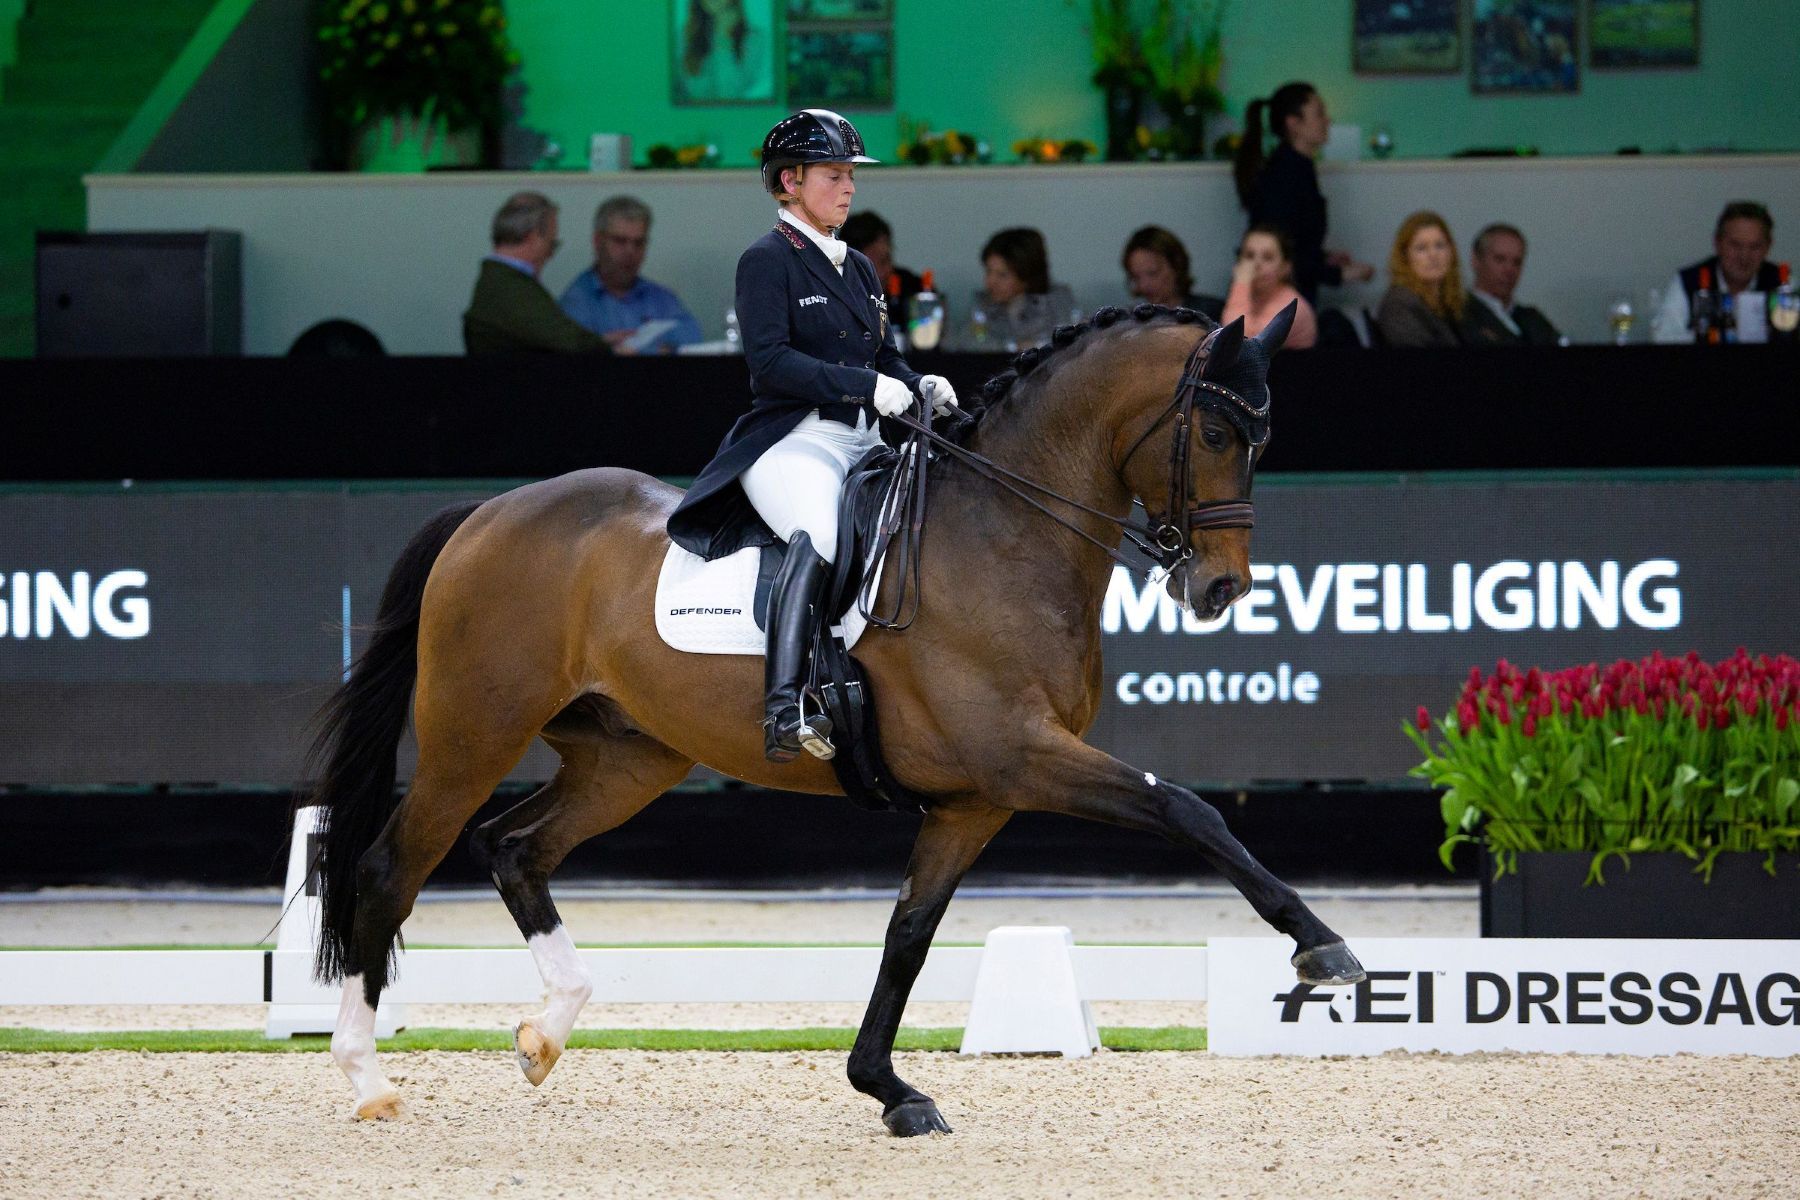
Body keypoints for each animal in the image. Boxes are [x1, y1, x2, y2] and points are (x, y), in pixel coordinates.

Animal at [309, 302, 1360, 1137]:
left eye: (1262, 440)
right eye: (1217, 433)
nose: (1220, 590)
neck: (1004, 533)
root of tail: (489, 512)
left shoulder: (975, 799)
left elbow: (908, 938)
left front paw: (888, 1088)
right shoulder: (1022, 758)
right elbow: (1188, 808)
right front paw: (1323, 948)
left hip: (628, 757)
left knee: (517, 848)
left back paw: (546, 1029)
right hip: (472, 735)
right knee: (391, 867)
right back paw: (365, 1077)